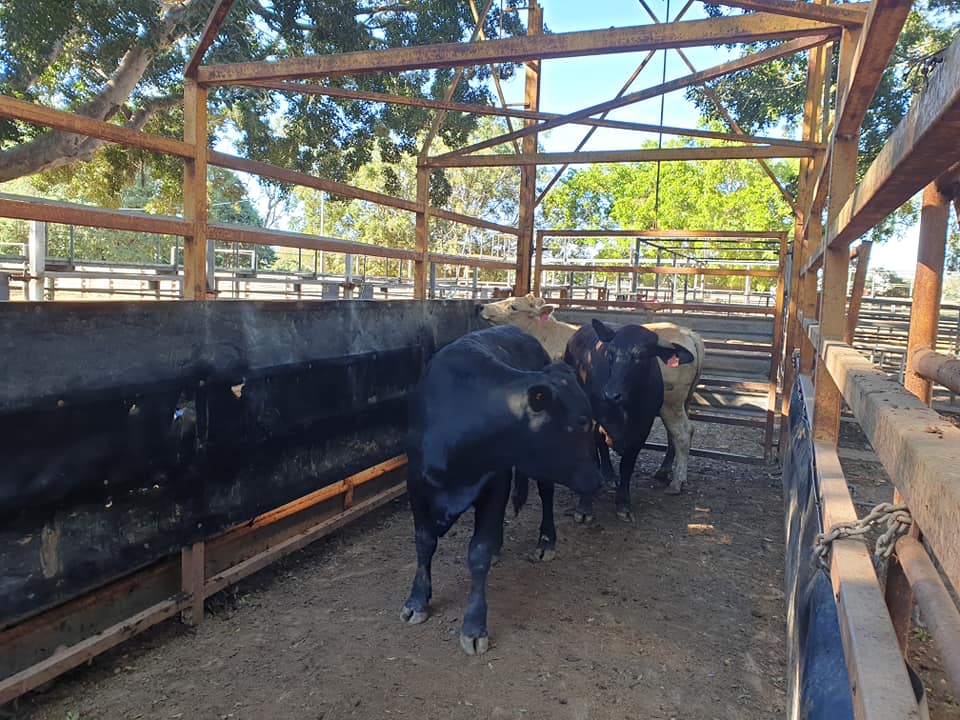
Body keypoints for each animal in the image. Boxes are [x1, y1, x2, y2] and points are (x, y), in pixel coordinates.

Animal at [402, 325, 603, 655]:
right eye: (582, 421)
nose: (598, 480)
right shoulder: (416, 483)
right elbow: (424, 541)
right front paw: (417, 601)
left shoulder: (495, 482)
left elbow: (478, 552)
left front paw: (474, 626)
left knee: (545, 495)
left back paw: (546, 541)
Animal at [480, 294, 705, 492]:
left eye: (513, 307)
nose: (482, 307)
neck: (547, 335)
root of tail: (690, 334)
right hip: (679, 403)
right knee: (676, 434)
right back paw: (664, 470)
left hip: (671, 404)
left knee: (683, 433)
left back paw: (677, 481)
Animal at [565, 318, 696, 522]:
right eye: (609, 353)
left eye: (641, 355)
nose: (610, 395)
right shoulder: (592, 421)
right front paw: (584, 507)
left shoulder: (642, 429)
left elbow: (627, 466)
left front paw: (623, 504)